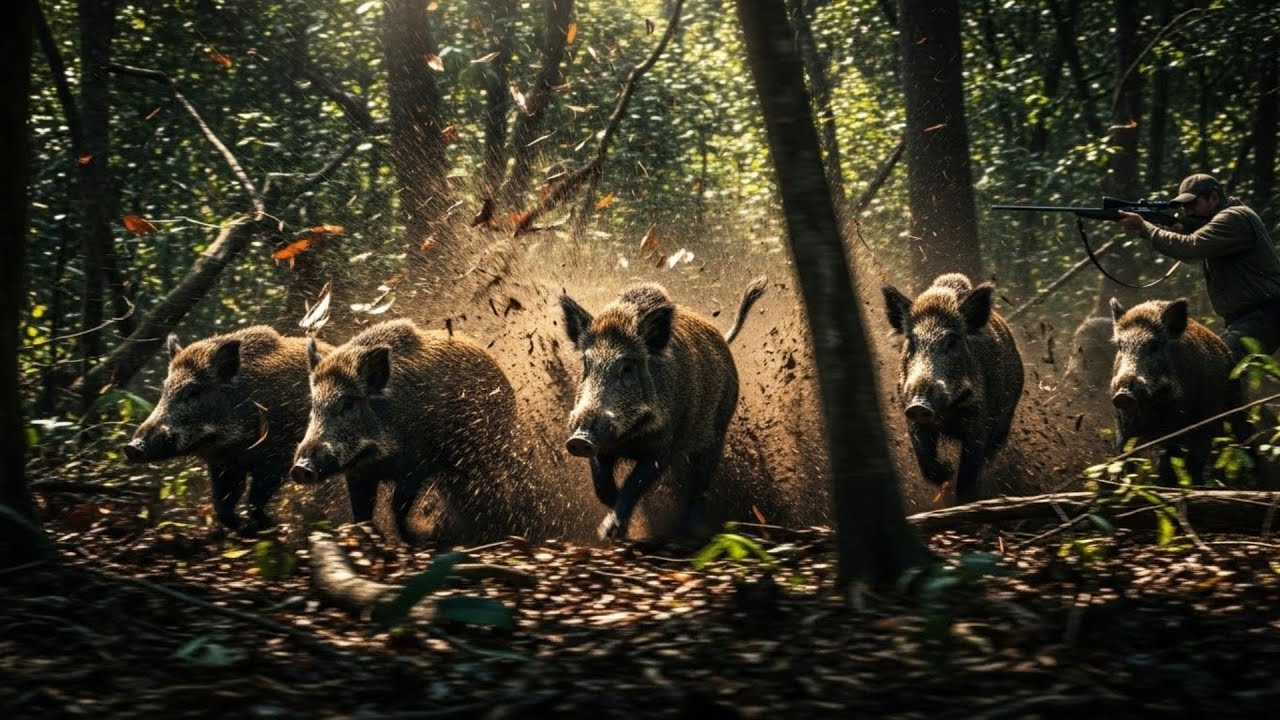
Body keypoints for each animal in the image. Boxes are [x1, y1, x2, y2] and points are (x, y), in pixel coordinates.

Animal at [124, 326, 323, 532]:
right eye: (165, 389)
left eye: (193, 392)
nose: (132, 447)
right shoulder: (224, 466)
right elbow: (222, 505)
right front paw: (244, 527)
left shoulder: (277, 459)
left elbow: (254, 499)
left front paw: (271, 525)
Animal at [290, 318, 521, 543]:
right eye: (314, 405)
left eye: (348, 404)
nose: (300, 468)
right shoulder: (358, 473)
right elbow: (361, 512)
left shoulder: (417, 464)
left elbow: (397, 506)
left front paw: (418, 537)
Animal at [559, 276, 767, 541]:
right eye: (587, 364)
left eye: (628, 367)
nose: (580, 439)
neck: (629, 439)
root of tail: (722, 337)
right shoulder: (602, 445)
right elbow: (602, 487)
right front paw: (617, 527)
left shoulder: (663, 445)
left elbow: (634, 484)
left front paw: (610, 533)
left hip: (717, 432)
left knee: (699, 487)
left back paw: (695, 533)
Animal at [882, 273, 1024, 503]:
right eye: (911, 341)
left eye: (951, 341)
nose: (920, 405)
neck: (946, 414)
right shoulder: (910, 415)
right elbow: (924, 458)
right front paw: (947, 471)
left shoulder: (979, 418)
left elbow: (969, 470)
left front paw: (965, 501)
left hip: (1007, 415)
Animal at [1108, 298, 1239, 484]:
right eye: (1121, 346)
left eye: (1154, 346)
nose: (1123, 395)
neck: (1151, 407)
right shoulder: (1123, 422)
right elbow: (1123, 452)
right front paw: (1117, 480)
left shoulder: (1181, 425)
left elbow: (1171, 463)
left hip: (1229, 404)